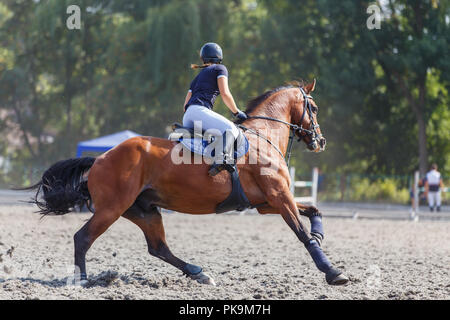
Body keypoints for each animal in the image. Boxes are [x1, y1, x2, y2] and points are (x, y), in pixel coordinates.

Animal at [24, 80, 350, 288]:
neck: (263, 135)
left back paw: (198, 272)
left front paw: (320, 235)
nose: (320, 141)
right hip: (112, 209)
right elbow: (301, 233)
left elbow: (314, 211)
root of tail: (100, 158)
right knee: (83, 238)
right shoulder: (279, 197)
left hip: (144, 210)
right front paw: (332, 272)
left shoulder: (266, 203)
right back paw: (80, 280)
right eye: (314, 108)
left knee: (158, 248)